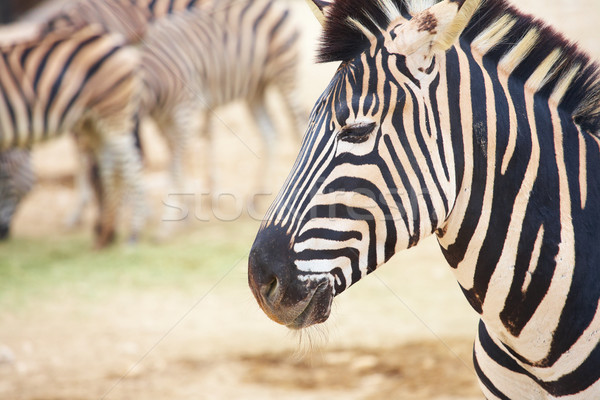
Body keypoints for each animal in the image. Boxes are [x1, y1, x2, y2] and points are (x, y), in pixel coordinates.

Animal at [0, 24, 144, 247]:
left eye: (2, 181)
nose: (3, 233)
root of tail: (113, 38)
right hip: (92, 121)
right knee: (108, 166)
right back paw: (104, 235)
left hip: (113, 110)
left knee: (130, 165)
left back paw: (132, 234)